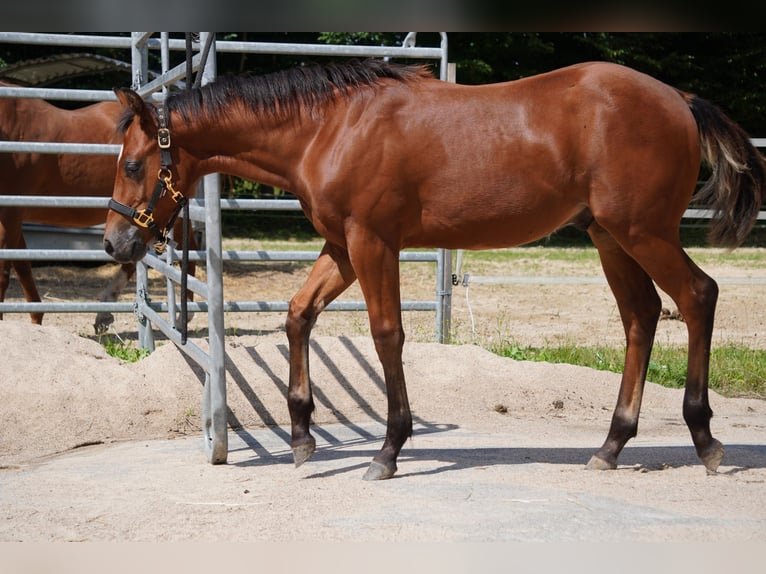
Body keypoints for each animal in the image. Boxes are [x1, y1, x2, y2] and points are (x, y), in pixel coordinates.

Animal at [103, 62, 766, 482]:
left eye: (133, 164)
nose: (114, 242)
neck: (328, 127)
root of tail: (680, 100)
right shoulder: (341, 247)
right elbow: (298, 316)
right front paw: (302, 436)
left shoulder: (373, 244)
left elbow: (387, 335)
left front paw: (388, 449)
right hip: (609, 237)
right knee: (642, 317)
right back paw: (611, 444)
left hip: (642, 233)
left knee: (697, 296)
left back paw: (705, 440)